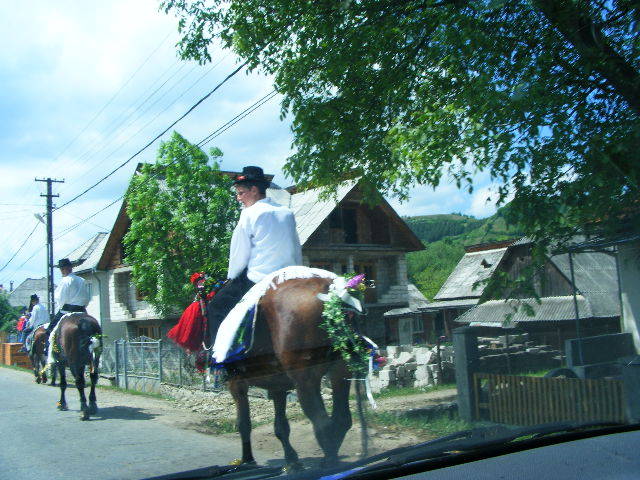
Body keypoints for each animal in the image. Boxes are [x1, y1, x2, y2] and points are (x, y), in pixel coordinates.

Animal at [220, 276, 362, 470]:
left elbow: (244, 423)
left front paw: (248, 460)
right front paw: (292, 459)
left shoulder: (236, 382)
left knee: (323, 423)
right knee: (342, 419)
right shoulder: (277, 386)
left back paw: (329, 463)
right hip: (341, 370)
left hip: (305, 381)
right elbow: (281, 426)